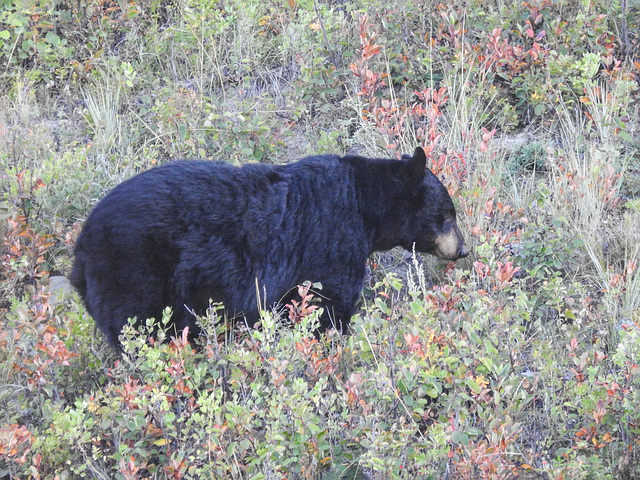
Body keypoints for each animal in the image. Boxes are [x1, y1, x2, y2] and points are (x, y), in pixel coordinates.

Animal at [70, 148, 468, 346]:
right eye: (447, 214)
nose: (463, 249)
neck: (364, 202)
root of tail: (80, 251)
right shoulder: (333, 242)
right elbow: (329, 305)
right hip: (134, 273)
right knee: (140, 329)